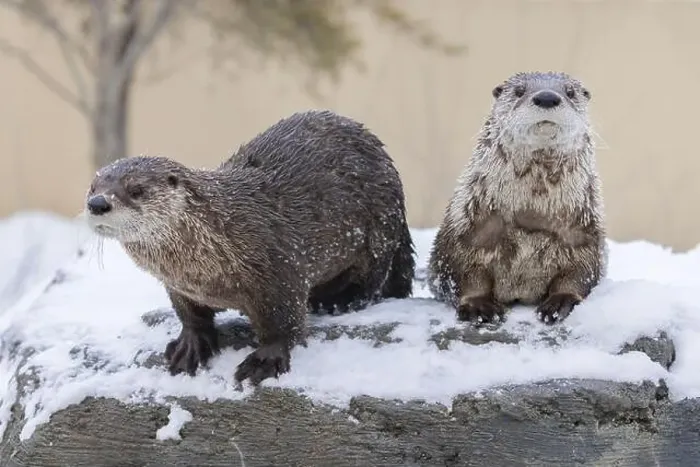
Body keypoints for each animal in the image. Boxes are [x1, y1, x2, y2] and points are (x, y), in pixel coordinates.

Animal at [84, 109, 416, 386]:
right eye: (93, 187)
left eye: (136, 189)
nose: (97, 203)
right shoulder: (179, 287)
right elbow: (190, 315)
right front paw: (190, 345)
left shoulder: (278, 268)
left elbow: (284, 323)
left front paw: (265, 360)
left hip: (380, 228)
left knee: (373, 278)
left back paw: (339, 301)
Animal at [427, 71, 607, 326]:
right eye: (519, 91)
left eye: (570, 92)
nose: (547, 97)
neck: (530, 217)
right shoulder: (466, 230)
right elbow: (463, 273)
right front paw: (478, 306)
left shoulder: (583, 233)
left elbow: (580, 273)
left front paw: (561, 302)